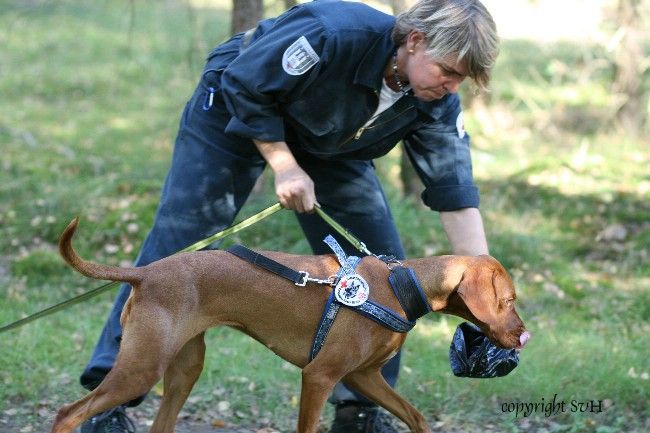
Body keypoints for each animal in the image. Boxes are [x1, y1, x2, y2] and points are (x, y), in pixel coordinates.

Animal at [49, 218, 528, 432]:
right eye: (507, 301)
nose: (524, 337)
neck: (399, 286)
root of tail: (145, 273)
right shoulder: (318, 377)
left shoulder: (363, 377)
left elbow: (414, 414)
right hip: (142, 367)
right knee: (68, 413)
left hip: (184, 370)